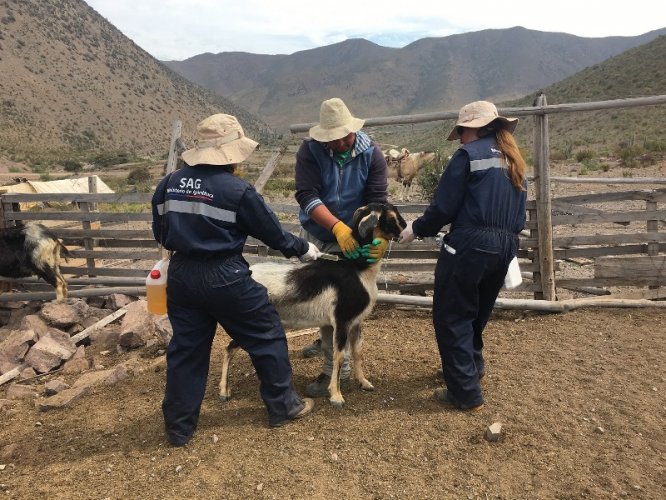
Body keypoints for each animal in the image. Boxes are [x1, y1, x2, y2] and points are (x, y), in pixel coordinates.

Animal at [218, 201, 404, 408]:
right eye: (390, 217)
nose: (404, 229)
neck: (357, 268)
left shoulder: (356, 322)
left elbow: (357, 352)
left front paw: (364, 382)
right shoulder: (342, 320)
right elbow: (339, 356)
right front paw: (336, 396)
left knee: (232, 348)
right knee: (229, 348)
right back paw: (224, 392)